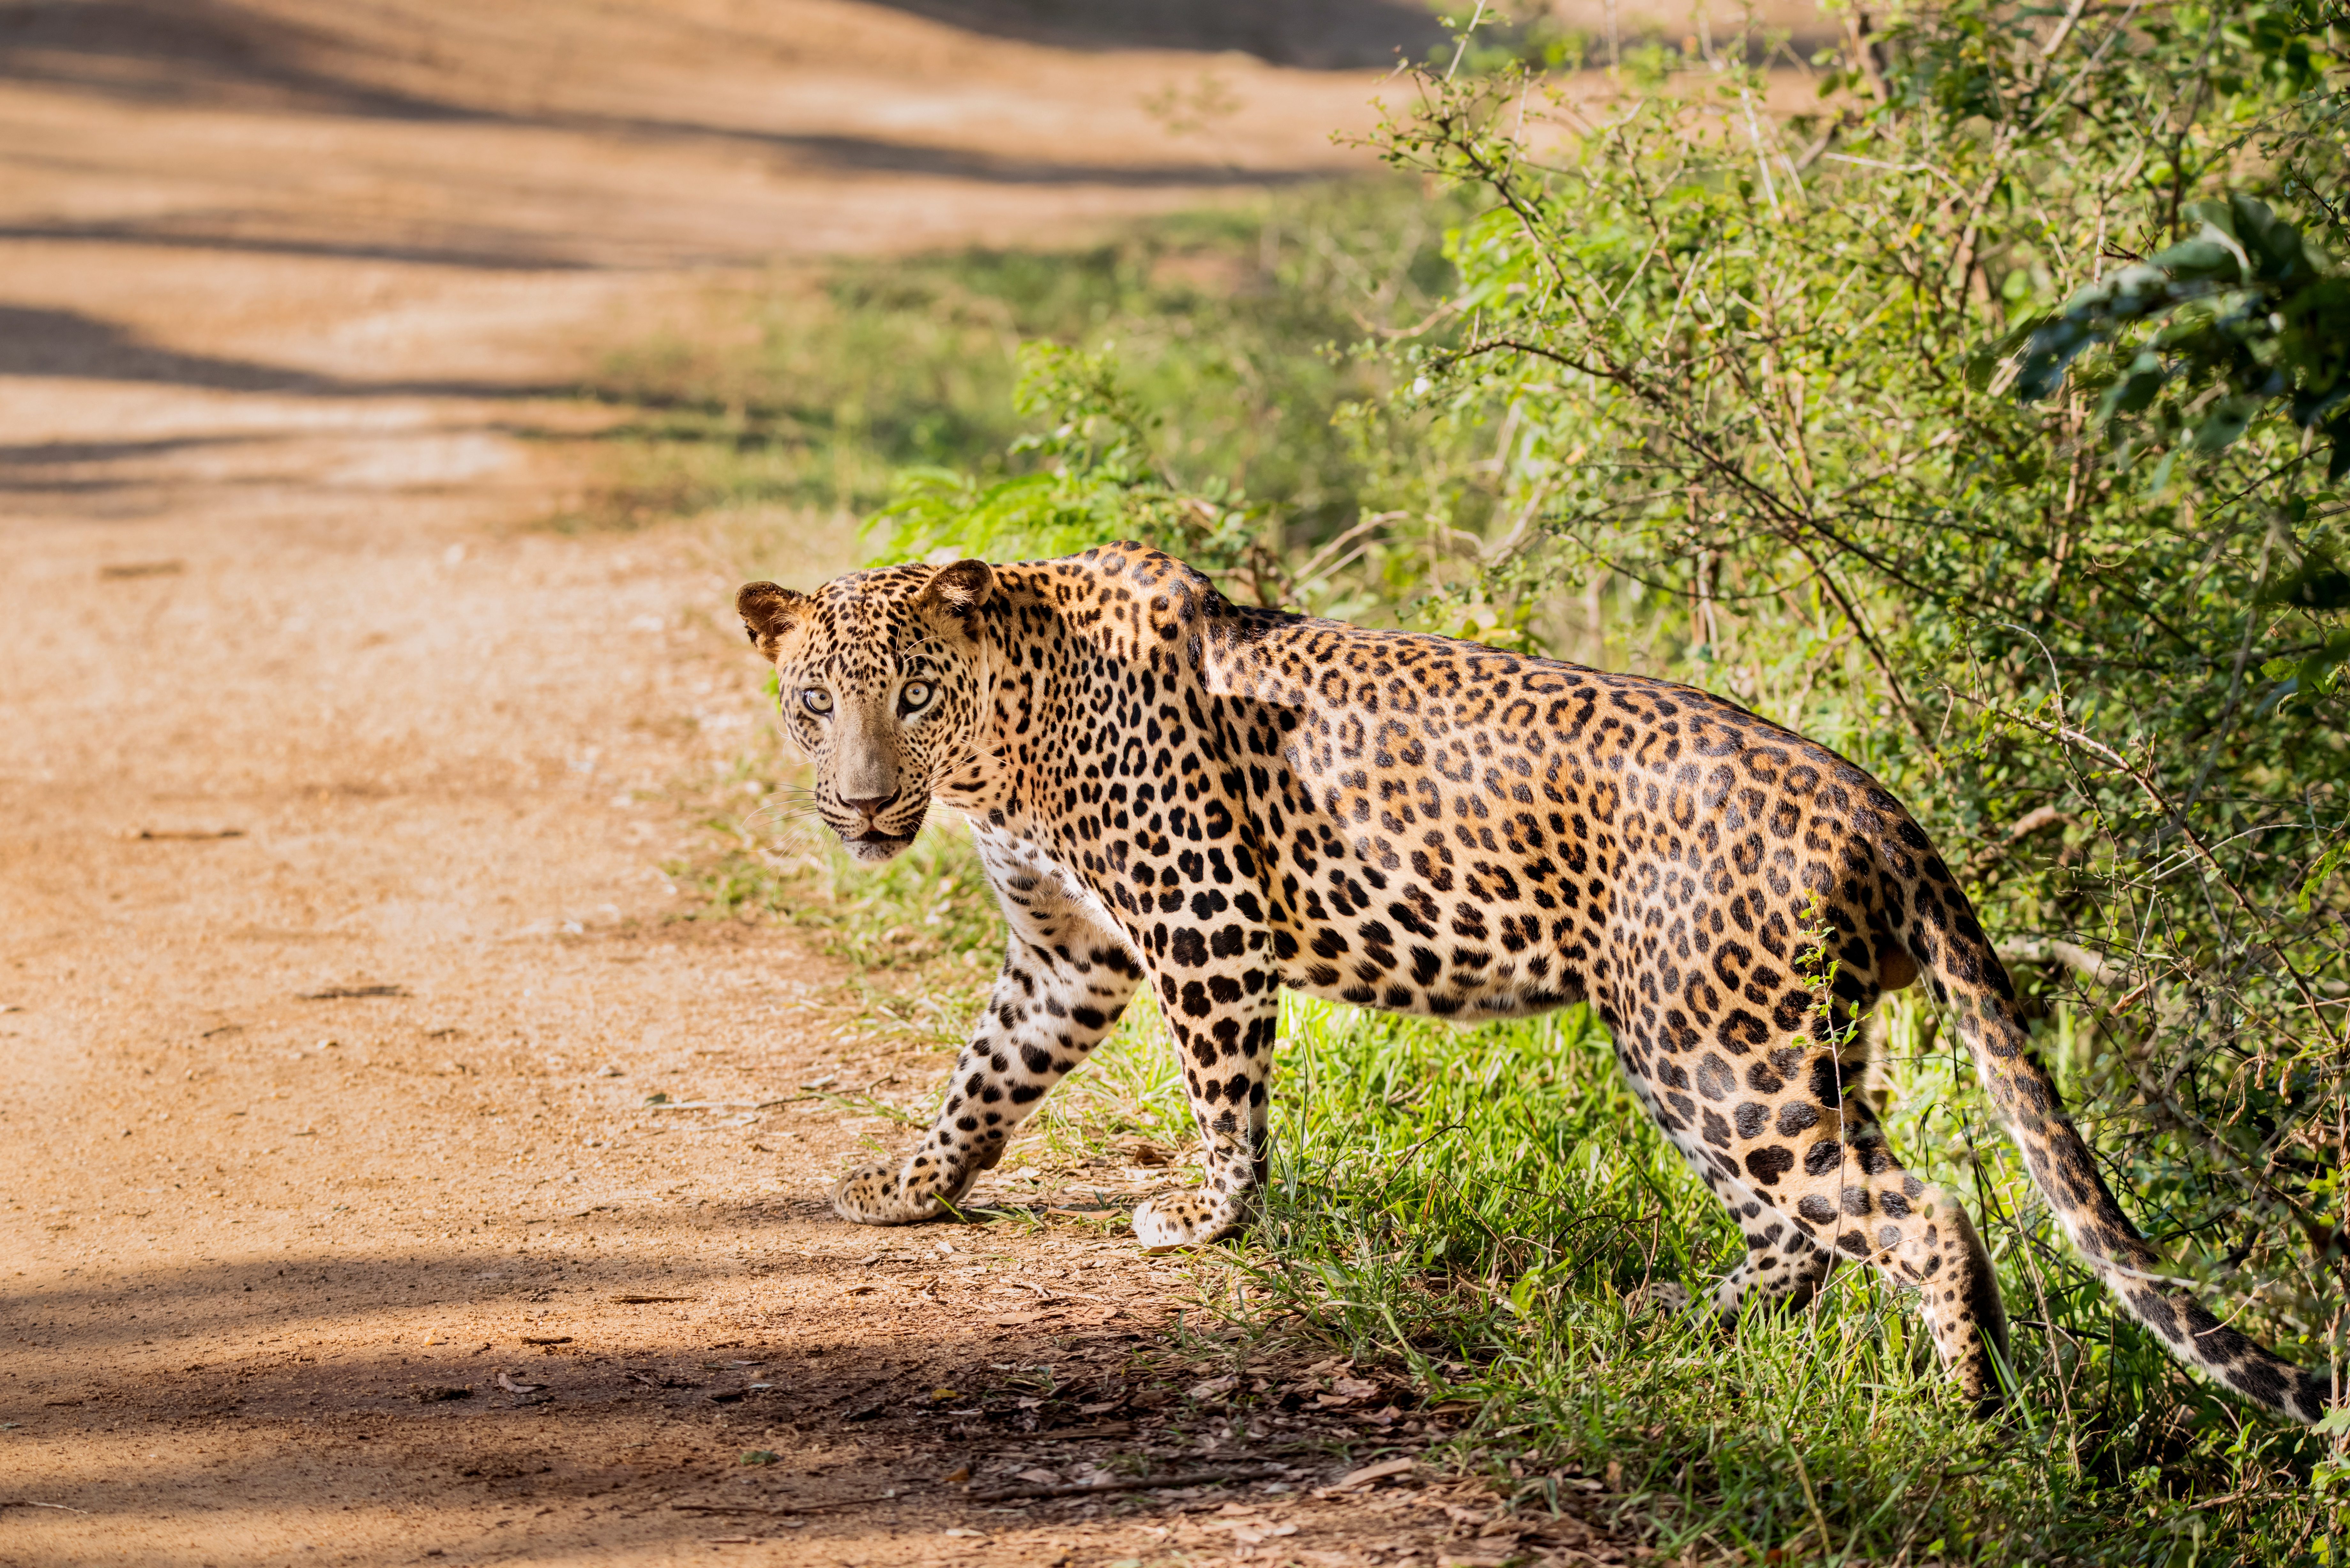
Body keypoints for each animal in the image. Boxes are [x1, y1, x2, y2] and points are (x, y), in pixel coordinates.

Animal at [734, 542, 2332, 1424]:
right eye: (816, 704)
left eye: (914, 697)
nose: (860, 806)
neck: (1007, 742)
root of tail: (1875, 798)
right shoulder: (1066, 948)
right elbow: (985, 1070)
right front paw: (909, 1184)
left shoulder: (1202, 917)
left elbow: (1222, 1093)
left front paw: (1203, 1216)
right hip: (1759, 1043)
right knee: (1810, 1226)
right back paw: (1656, 1334)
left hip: (1715, 1050)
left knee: (1915, 1215)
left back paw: (1961, 1421)